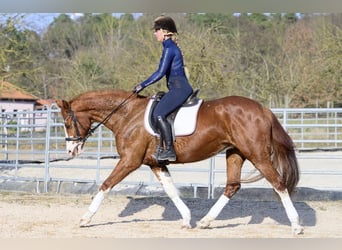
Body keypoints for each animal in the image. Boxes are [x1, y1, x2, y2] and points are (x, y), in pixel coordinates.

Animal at [56, 89, 304, 234]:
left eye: (67, 123)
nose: (71, 150)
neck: (127, 114)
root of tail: (263, 109)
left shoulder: (129, 161)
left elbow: (106, 184)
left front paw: (85, 218)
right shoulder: (156, 164)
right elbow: (171, 191)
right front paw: (186, 219)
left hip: (257, 155)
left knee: (279, 184)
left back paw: (296, 225)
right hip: (235, 153)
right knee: (232, 186)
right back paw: (205, 221)